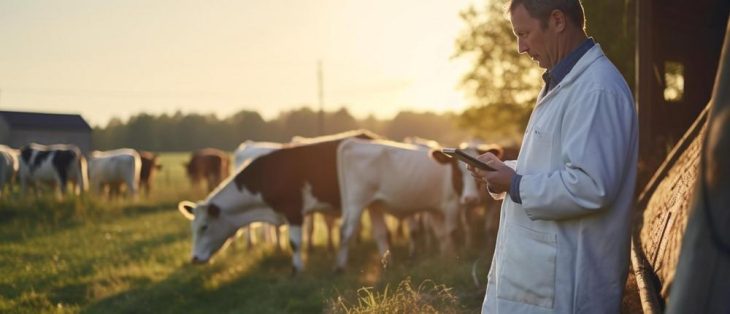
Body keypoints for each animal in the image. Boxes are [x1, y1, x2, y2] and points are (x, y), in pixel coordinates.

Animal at [176, 130, 376, 272]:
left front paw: (297, 269)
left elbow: (295, 243)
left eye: (204, 227)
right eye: (193, 228)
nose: (194, 258)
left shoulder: (294, 212)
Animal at [334, 137, 484, 270]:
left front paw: (446, 258)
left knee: (380, 233)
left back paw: (388, 264)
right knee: (346, 231)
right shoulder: (451, 205)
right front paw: (453, 259)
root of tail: (352, 143)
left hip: (373, 205)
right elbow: (451, 232)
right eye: (458, 172)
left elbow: (442, 235)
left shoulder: (435, 209)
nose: (471, 198)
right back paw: (340, 267)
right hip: (356, 202)